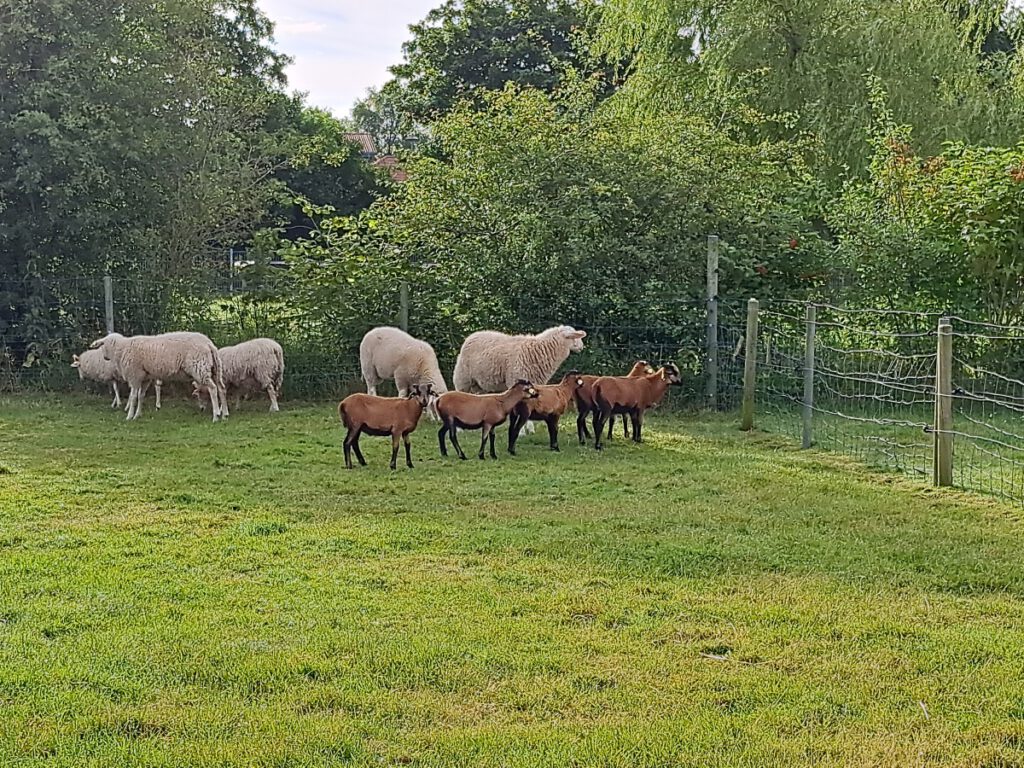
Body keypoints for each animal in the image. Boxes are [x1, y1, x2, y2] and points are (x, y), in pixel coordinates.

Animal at [89, 331, 224, 423]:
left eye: (102, 345)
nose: (105, 358)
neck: (121, 349)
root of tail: (209, 343)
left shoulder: (135, 376)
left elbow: (133, 397)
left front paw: (129, 416)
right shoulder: (145, 378)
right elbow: (141, 396)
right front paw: (137, 415)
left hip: (200, 368)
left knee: (213, 389)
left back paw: (216, 416)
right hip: (213, 369)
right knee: (221, 388)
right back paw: (224, 414)